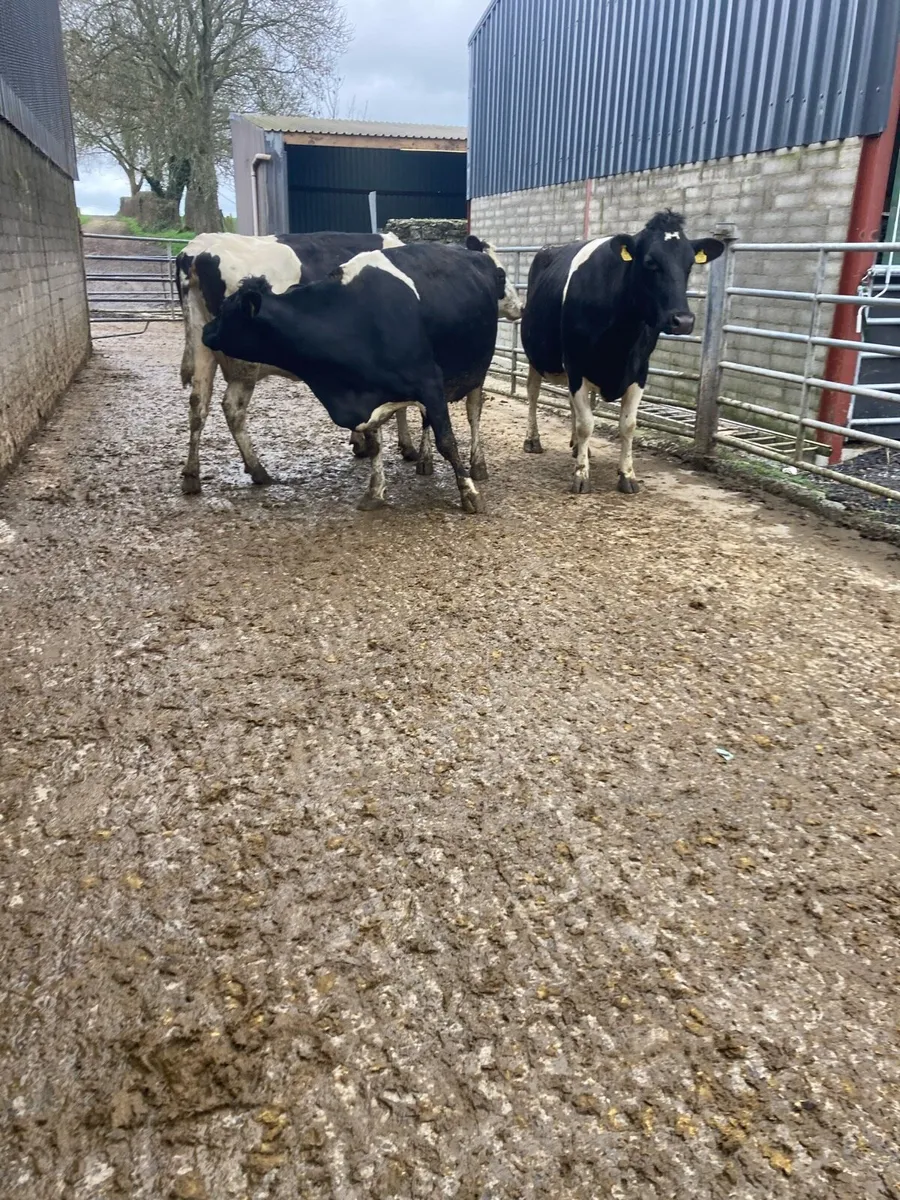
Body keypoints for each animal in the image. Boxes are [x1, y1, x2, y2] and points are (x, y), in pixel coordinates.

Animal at [176, 230, 405, 494]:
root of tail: (198, 250)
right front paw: (406, 447)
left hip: (202, 348)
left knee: (198, 404)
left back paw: (191, 475)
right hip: (244, 364)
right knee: (232, 407)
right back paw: (258, 470)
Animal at [200, 241, 513, 514]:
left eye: (227, 313)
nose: (205, 331)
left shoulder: (429, 383)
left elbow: (447, 442)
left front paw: (469, 493)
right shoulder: (370, 392)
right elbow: (375, 446)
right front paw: (375, 492)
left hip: (477, 371)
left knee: (473, 414)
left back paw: (478, 465)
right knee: (427, 421)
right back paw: (424, 462)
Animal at [520, 211, 724, 494]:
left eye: (690, 264)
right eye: (650, 262)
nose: (683, 321)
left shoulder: (639, 370)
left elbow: (627, 425)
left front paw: (627, 475)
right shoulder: (576, 365)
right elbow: (586, 424)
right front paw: (581, 476)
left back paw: (578, 449)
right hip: (536, 357)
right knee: (533, 392)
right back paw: (533, 440)